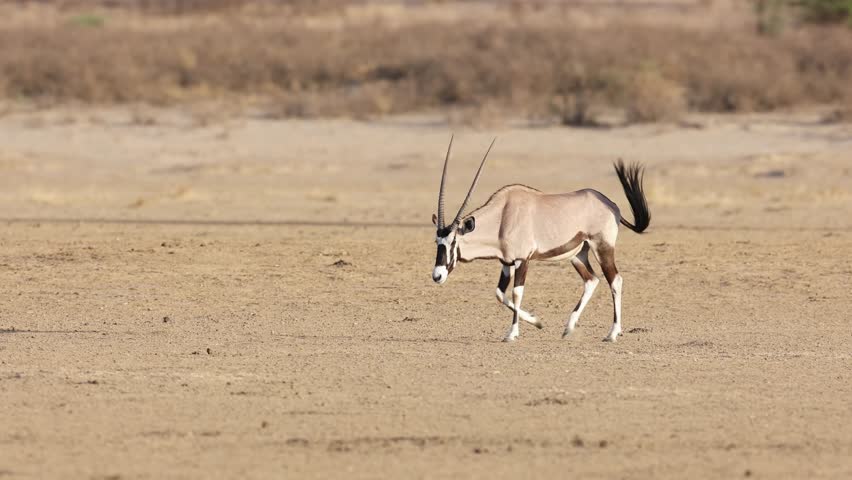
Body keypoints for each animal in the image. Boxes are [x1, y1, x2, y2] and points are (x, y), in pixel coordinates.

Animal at [431, 137, 650, 342]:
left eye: (453, 242)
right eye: (437, 243)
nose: (437, 276)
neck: (502, 216)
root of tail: (611, 204)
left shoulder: (522, 260)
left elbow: (516, 292)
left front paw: (512, 333)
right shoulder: (506, 262)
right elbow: (500, 294)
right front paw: (537, 322)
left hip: (602, 248)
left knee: (615, 281)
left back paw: (612, 333)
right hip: (578, 254)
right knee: (591, 280)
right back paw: (569, 327)